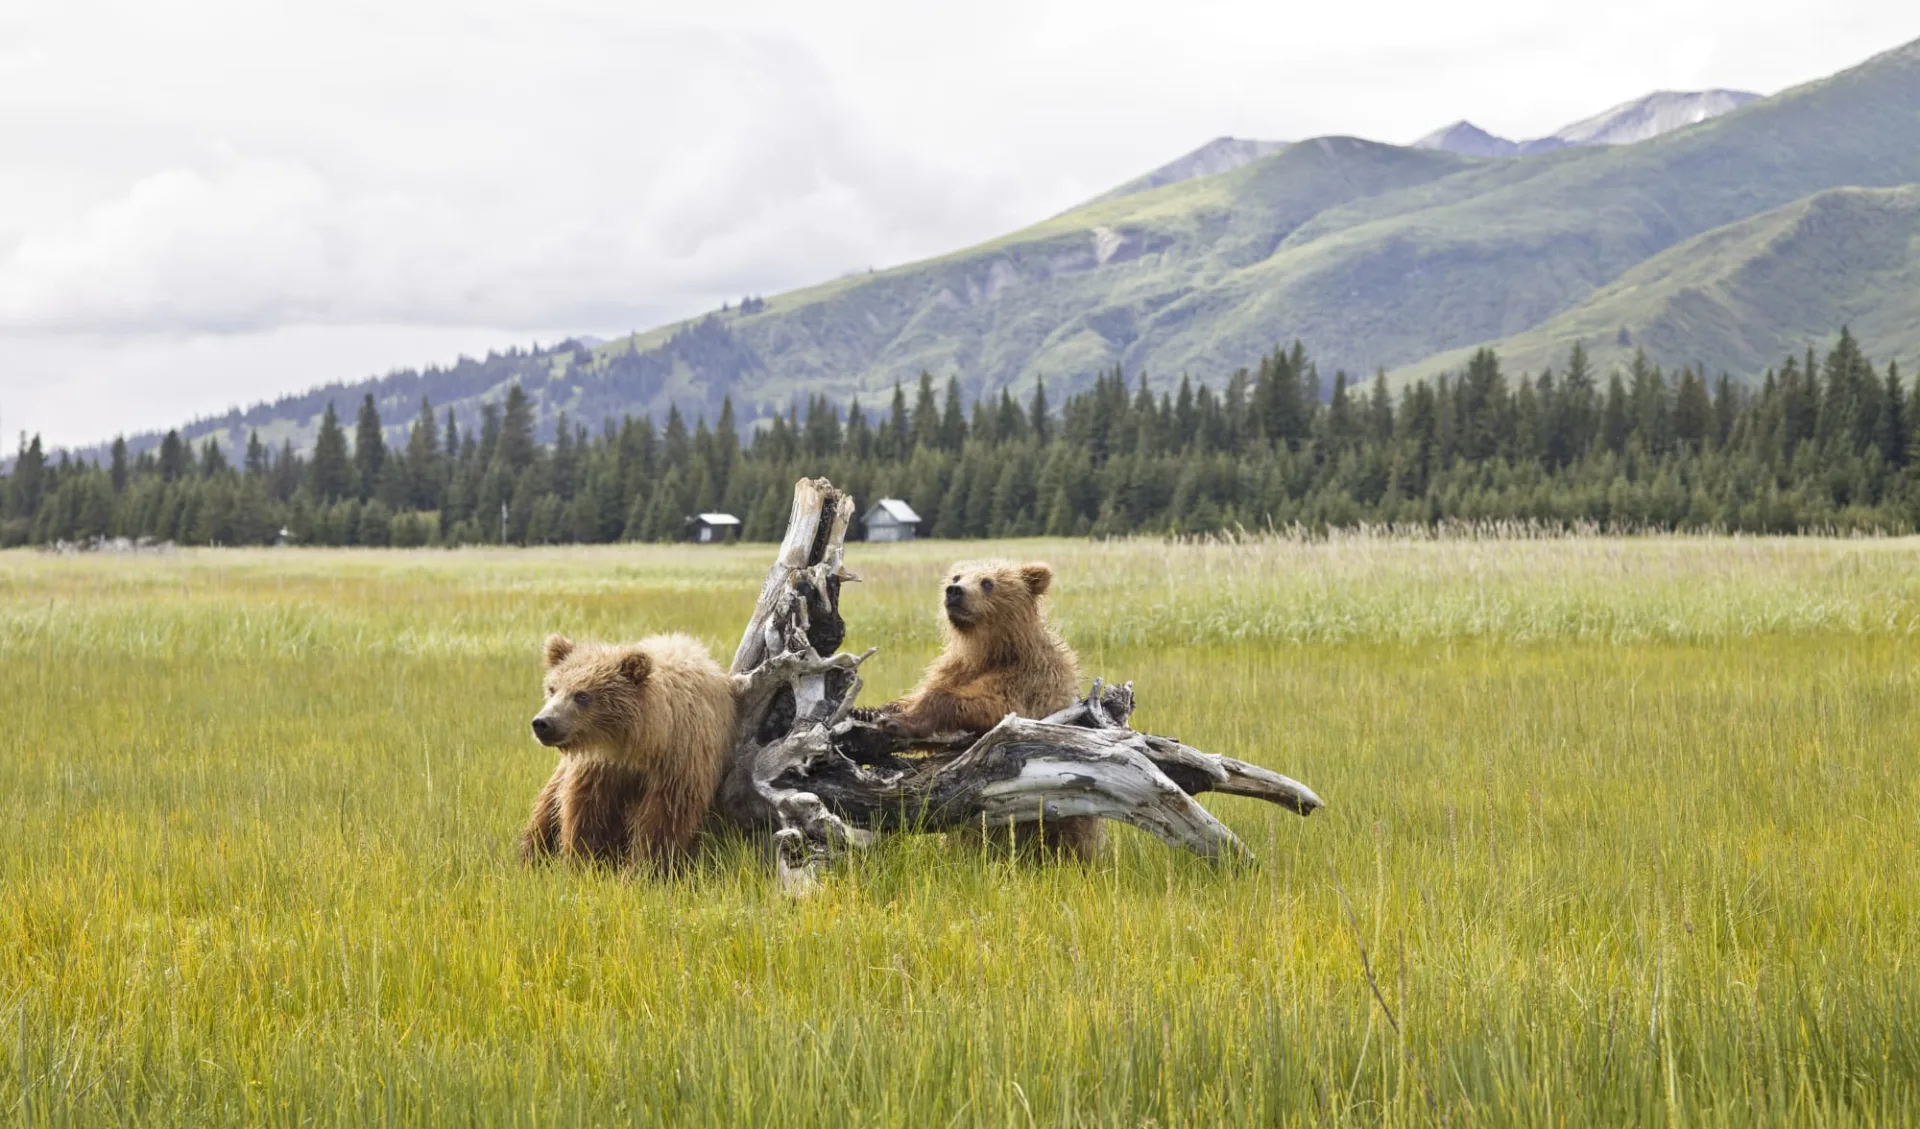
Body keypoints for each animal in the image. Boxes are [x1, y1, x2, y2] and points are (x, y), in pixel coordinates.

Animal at [520, 632, 736, 871]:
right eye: (552, 688)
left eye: (582, 695)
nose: (543, 723)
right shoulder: (599, 768)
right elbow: (585, 813)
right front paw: (584, 861)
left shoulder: (679, 761)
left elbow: (665, 820)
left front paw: (644, 868)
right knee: (546, 809)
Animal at [869, 559, 1105, 859]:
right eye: (957, 576)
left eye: (988, 582)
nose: (954, 591)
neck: (988, 651)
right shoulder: (955, 669)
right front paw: (881, 711)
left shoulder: (1029, 679)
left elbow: (991, 708)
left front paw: (898, 723)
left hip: (1064, 822)